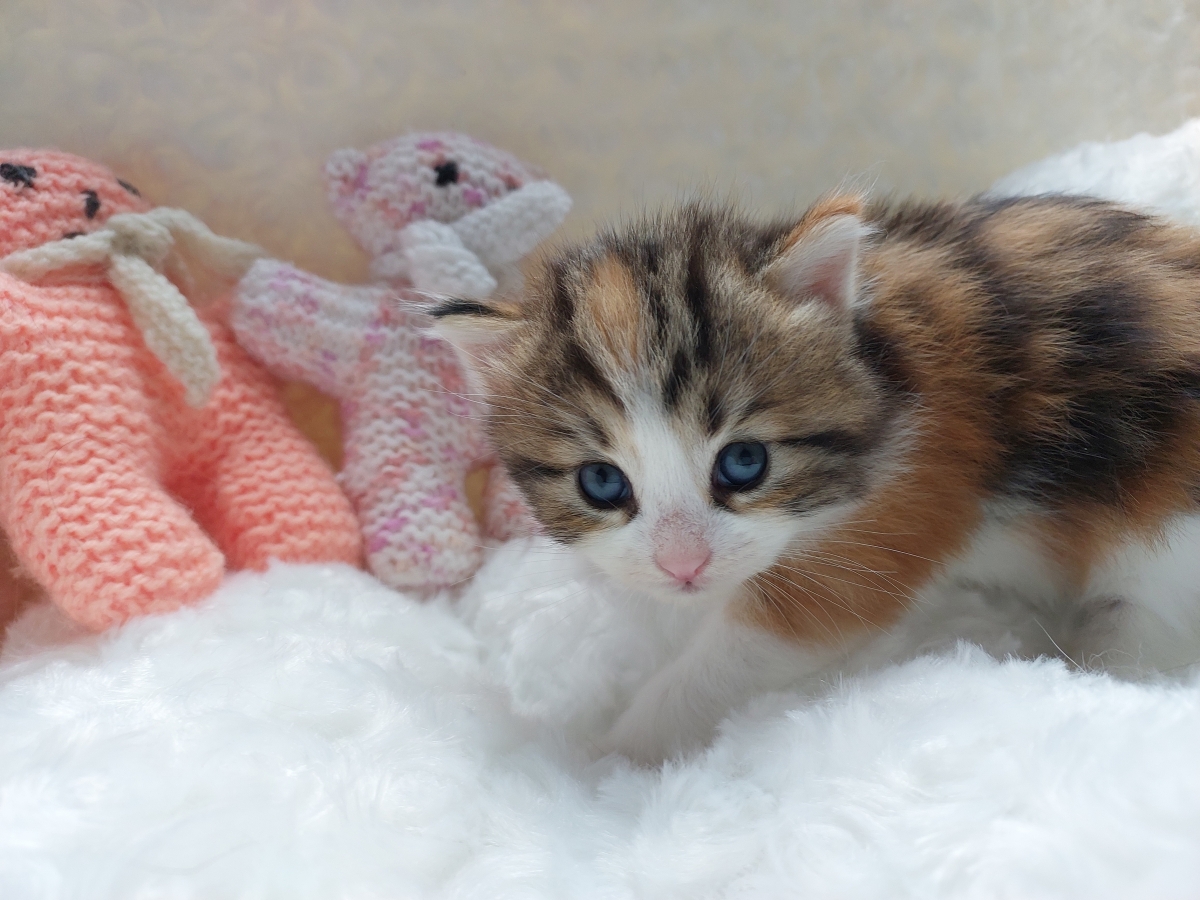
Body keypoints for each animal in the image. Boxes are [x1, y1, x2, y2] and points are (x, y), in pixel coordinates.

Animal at [429, 193, 1200, 764]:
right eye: (601, 483)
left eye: (744, 463)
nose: (683, 565)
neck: (883, 364)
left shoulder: (912, 492)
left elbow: (750, 648)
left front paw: (610, 759)